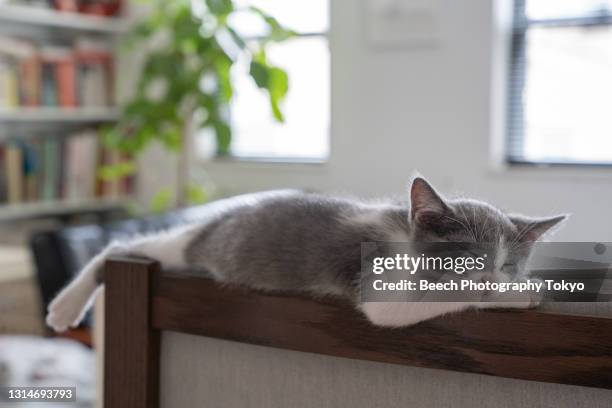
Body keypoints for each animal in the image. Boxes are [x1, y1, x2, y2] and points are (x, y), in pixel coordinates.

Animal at [45, 176, 568, 332]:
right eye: (467, 259)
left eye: (507, 261)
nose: (501, 276)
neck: (404, 239)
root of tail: (222, 215)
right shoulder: (374, 277)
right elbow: (402, 305)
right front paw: (523, 293)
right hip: (186, 247)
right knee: (120, 245)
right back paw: (66, 305)